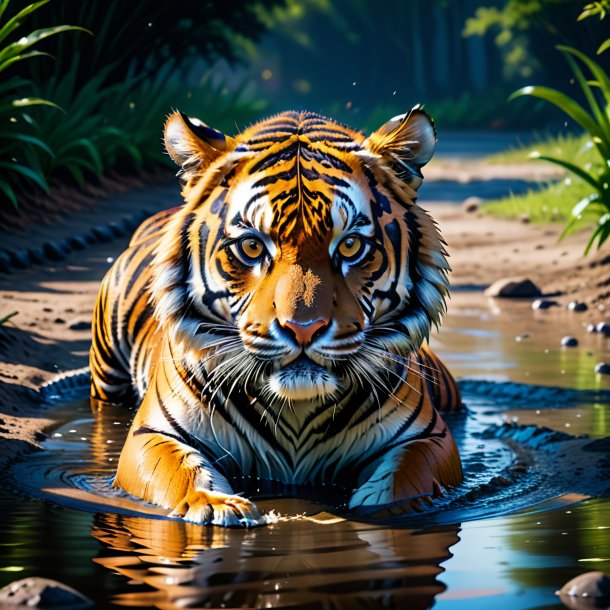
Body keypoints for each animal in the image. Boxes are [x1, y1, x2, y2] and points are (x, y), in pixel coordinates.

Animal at [89, 107, 460, 524]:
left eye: (350, 245)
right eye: (252, 246)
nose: (303, 329)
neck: (296, 410)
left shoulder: (429, 437)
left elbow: (405, 478)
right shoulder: (153, 434)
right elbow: (183, 473)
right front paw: (216, 506)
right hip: (107, 376)